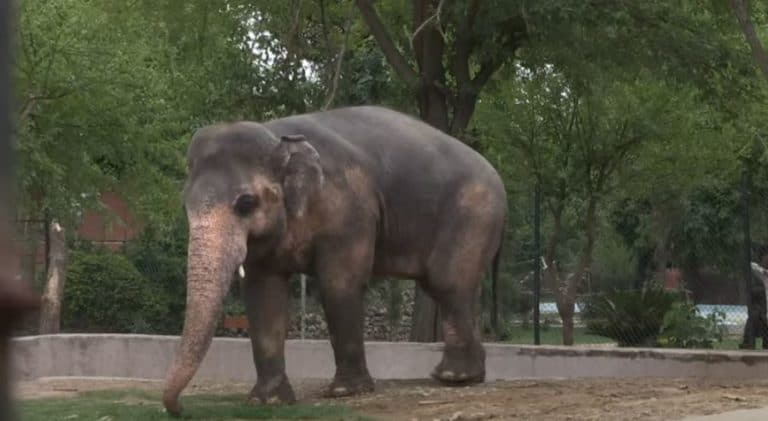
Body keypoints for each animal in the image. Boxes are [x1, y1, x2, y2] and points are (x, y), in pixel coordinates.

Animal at [162, 105, 507, 416]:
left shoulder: (349, 210)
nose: (180, 409)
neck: (278, 136)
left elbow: (338, 284)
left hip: (472, 215)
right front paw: (267, 402)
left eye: (246, 203)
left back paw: (455, 378)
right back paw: (457, 376)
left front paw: (345, 392)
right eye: (184, 206)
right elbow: (264, 295)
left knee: (446, 283)